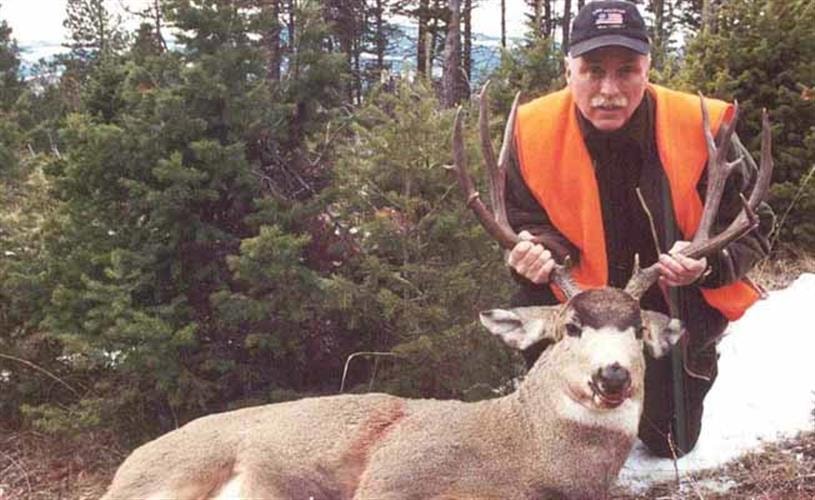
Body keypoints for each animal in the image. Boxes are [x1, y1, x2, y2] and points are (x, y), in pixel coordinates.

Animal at [102, 84, 773, 500]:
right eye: (571, 328)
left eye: (635, 328)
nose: (612, 376)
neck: (522, 460)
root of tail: (126, 463)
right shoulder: (392, 473)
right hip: (172, 473)